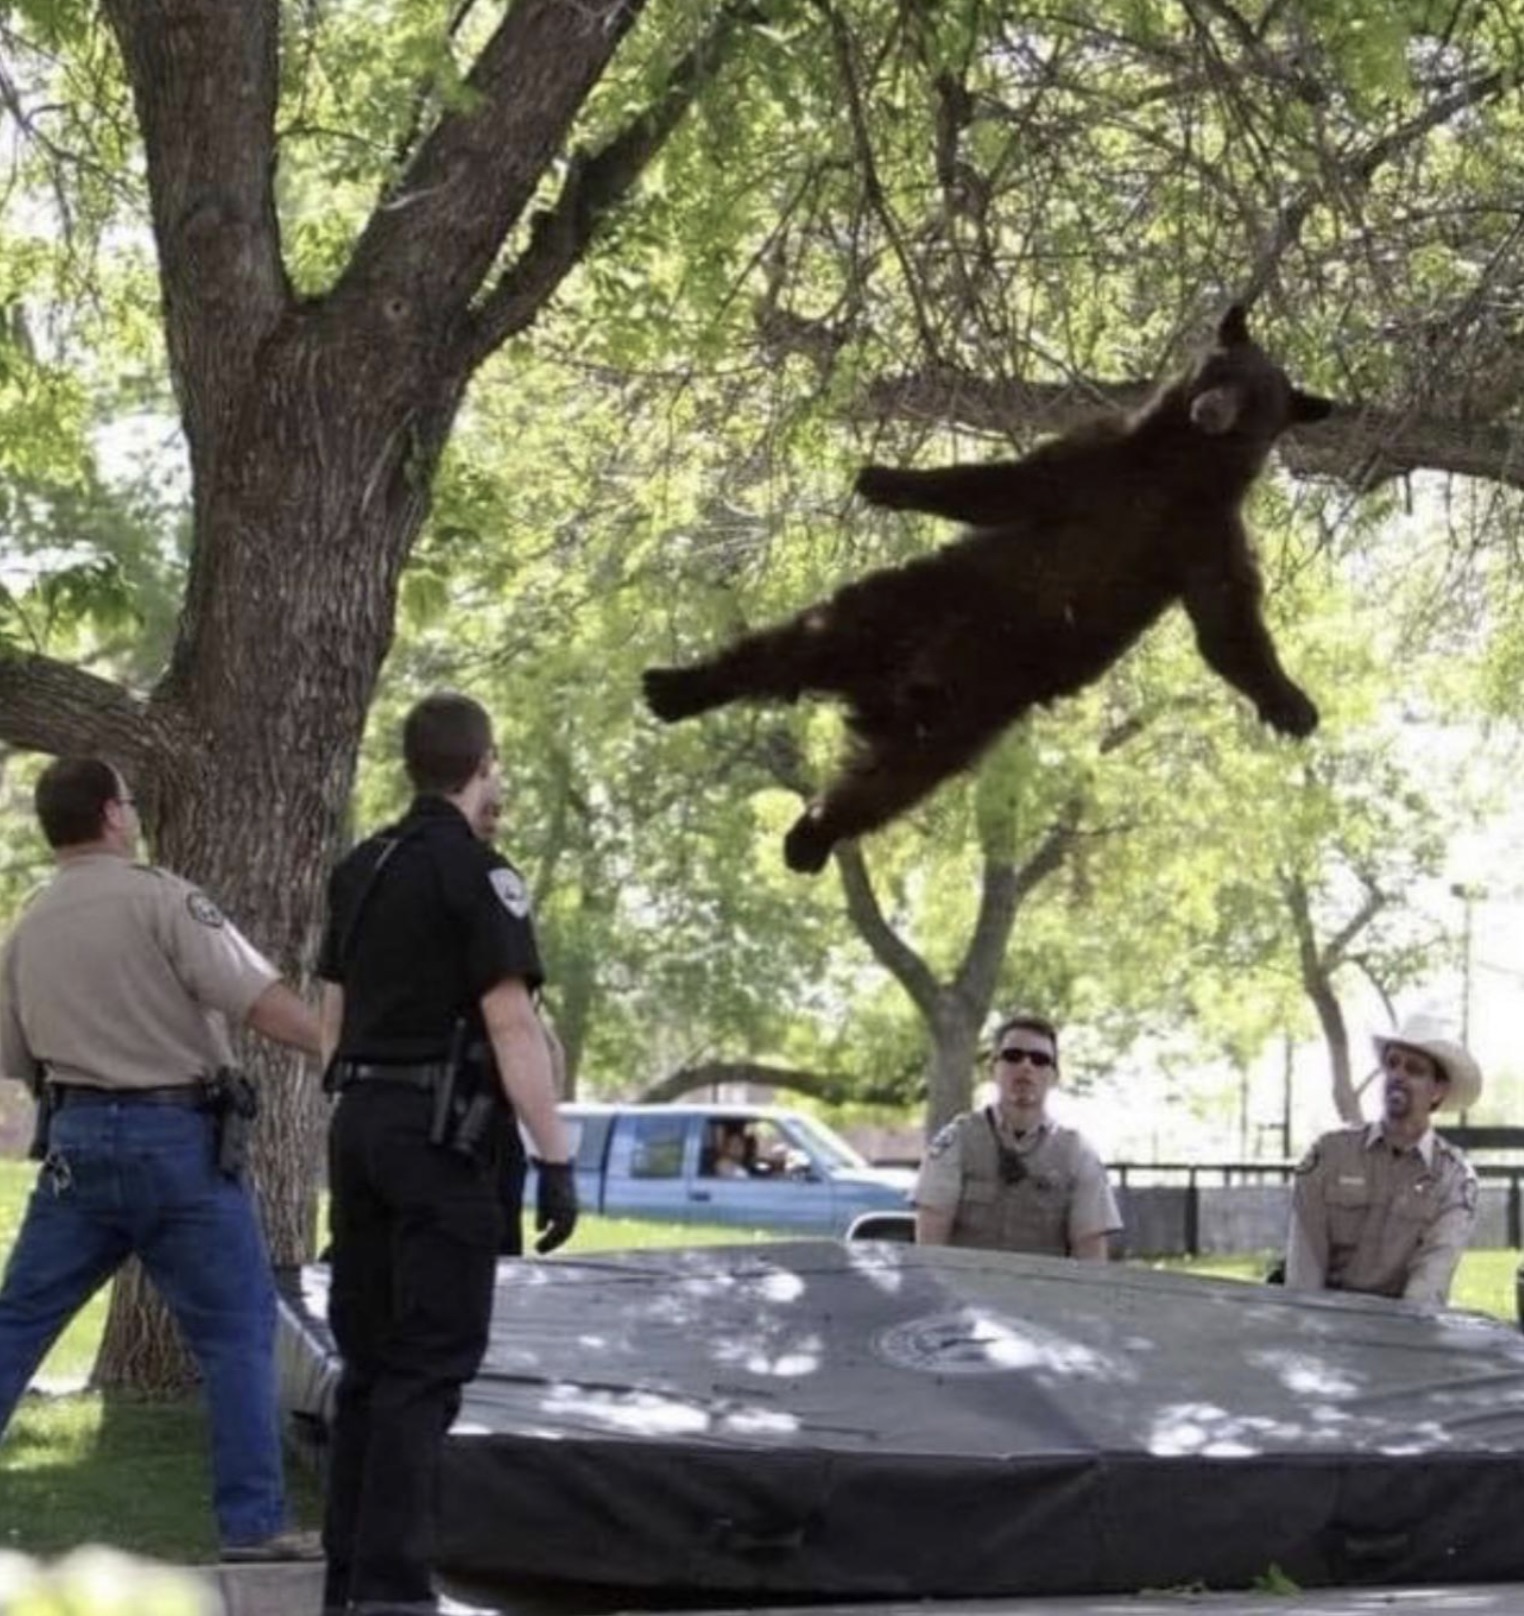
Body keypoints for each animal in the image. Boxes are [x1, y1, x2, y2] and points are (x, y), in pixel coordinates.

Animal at [643, 302, 1331, 872]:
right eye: (1221, 370)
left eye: (1257, 400)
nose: (1211, 410)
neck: (1177, 470)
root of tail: (891, 691)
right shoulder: (1100, 464)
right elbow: (1005, 485)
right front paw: (884, 478)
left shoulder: (1203, 534)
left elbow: (1227, 622)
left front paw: (1291, 704)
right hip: (908, 607)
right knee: (792, 647)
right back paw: (679, 687)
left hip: (962, 721)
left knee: (885, 785)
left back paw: (808, 838)